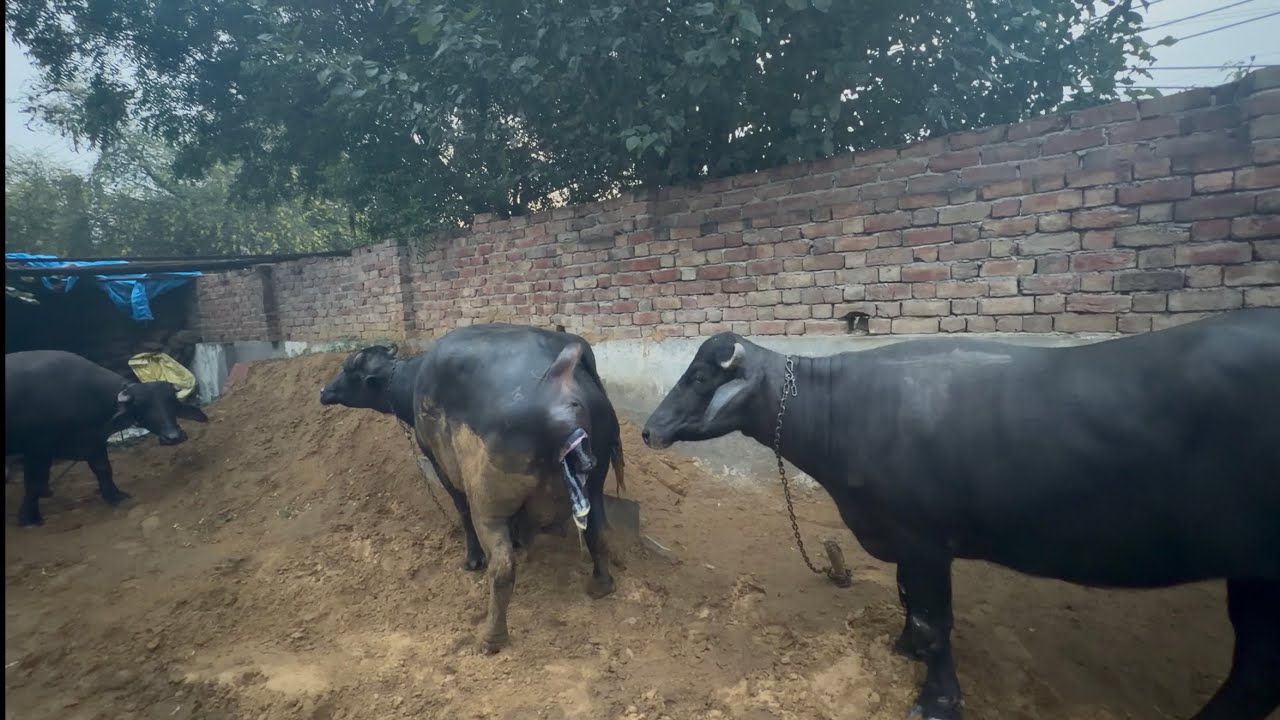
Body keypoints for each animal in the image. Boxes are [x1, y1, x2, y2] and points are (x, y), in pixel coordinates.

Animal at [5, 350, 210, 527]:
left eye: (171, 401)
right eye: (141, 405)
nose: (173, 437)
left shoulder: (94, 439)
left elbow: (103, 469)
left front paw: (115, 496)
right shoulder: (37, 448)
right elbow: (34, 484)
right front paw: (29, 518)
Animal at [319, 324, 626, 653]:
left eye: (348, 369)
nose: (324, 391)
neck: (411, 384)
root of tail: (559, 379)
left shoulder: (440, 464)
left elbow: (462, 510)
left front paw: (472, 560)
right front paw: (521, 540)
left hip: (488, 505)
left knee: (502, 567)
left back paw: (491, 638)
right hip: (594, 484)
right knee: (597, 533)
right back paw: (601, 585)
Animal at [641, 308, 1280, 720]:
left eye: (701, 375)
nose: (649, 430)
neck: (843, 410)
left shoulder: (926, 542)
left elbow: (934, 623)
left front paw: (936, 701)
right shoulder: (905, 542)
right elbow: (908, 604)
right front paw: (901, 649)